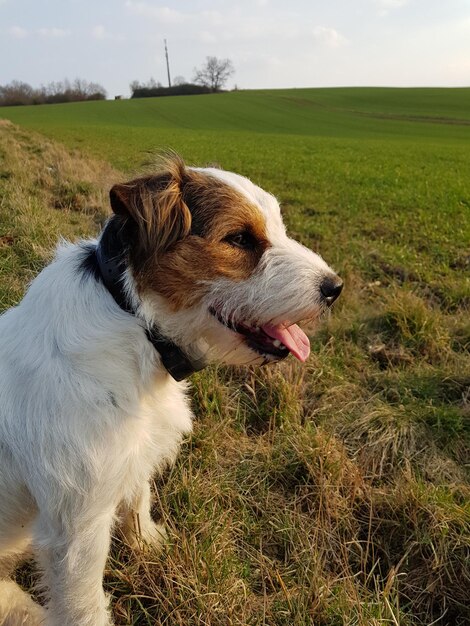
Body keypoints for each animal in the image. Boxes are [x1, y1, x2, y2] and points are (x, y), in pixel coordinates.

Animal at [0, 154, 342, 620]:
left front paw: (149, 544)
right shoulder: (76, 525)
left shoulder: (133, 455)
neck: (134, 321)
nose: (335, 287)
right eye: (239, 238)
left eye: (279, 226)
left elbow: (139, 496)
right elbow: (83, 604)